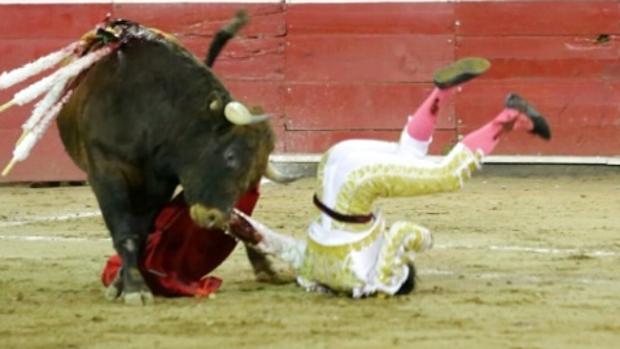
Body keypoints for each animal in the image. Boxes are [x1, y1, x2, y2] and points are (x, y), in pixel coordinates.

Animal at [55, 12, 288, 304]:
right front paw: (135, 289)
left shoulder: (160, 183)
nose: (213, 218)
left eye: (252, 178)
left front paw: (123, 283)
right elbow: (125, 230)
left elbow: (142, 232)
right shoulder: (106, 172)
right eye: (230, 155)